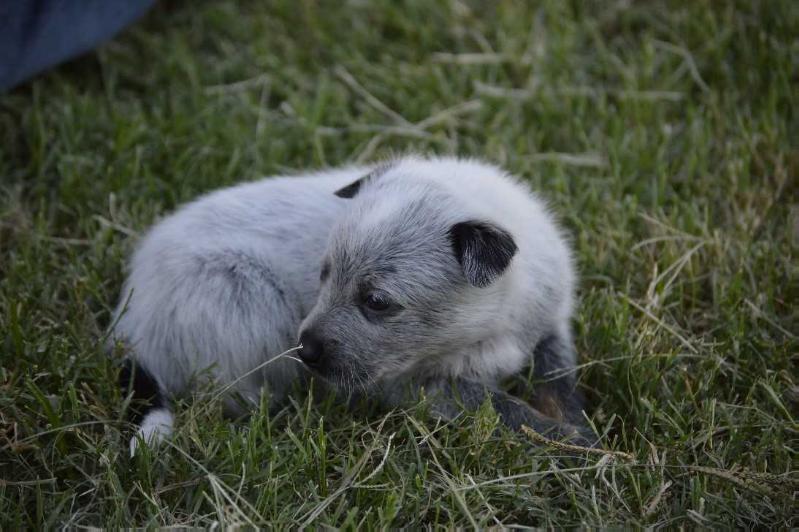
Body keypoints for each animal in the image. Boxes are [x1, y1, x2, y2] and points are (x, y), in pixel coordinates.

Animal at [111, 156, 588, 450]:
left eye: (376, 301)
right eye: (323, 274)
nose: (305, 350)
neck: (490, 323)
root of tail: (127, 323)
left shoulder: (551, 325)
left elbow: (561, 383)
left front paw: (582, 430)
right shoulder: (417, 385)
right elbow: (507, 407)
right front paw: (571, 443)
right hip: (246, 301)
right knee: (234, 396)